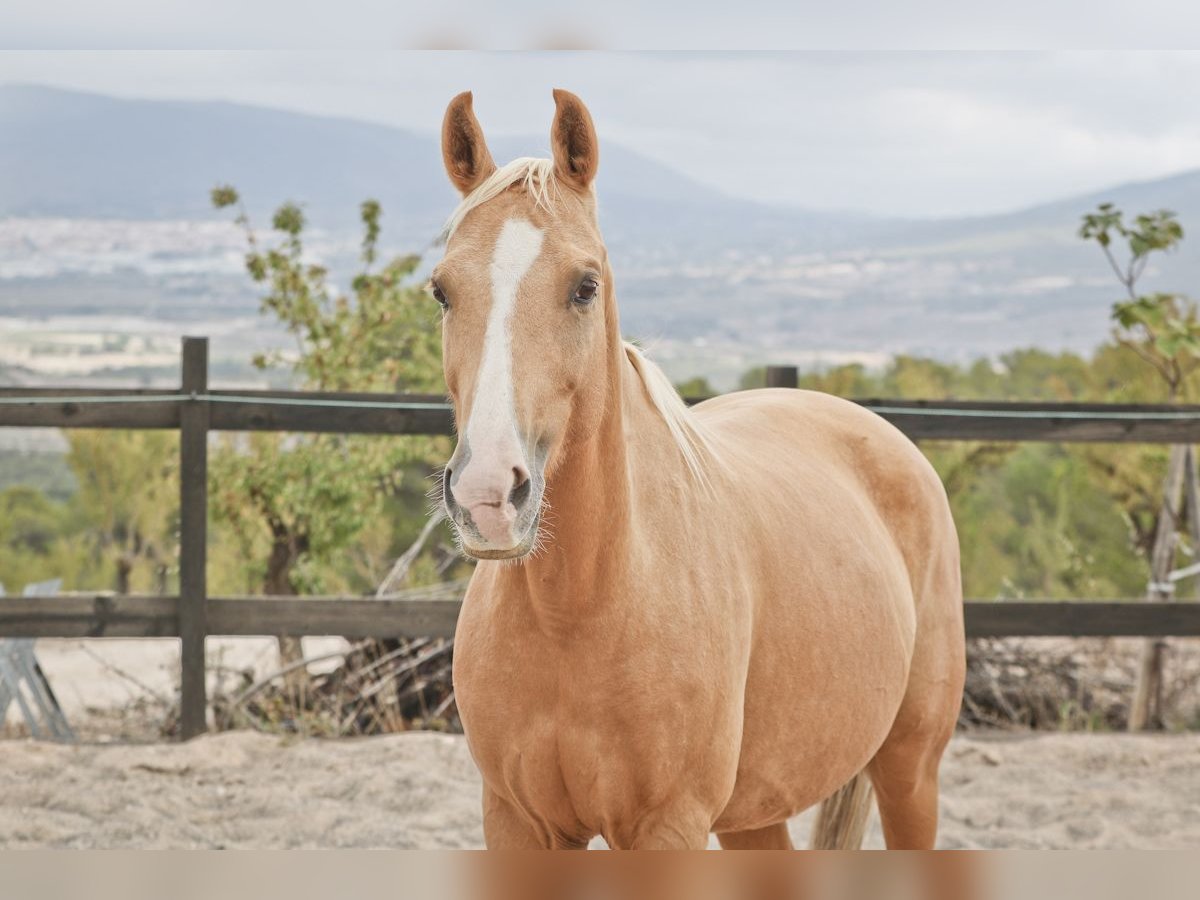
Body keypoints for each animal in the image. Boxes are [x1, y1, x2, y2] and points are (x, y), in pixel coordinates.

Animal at [432, 88, 964, 849]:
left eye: (585, 286)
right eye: (442, 291)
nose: (487, 495)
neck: (579, 610)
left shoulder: (668, 826)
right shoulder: (517, 821)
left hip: (911, 768)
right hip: (756, 812)